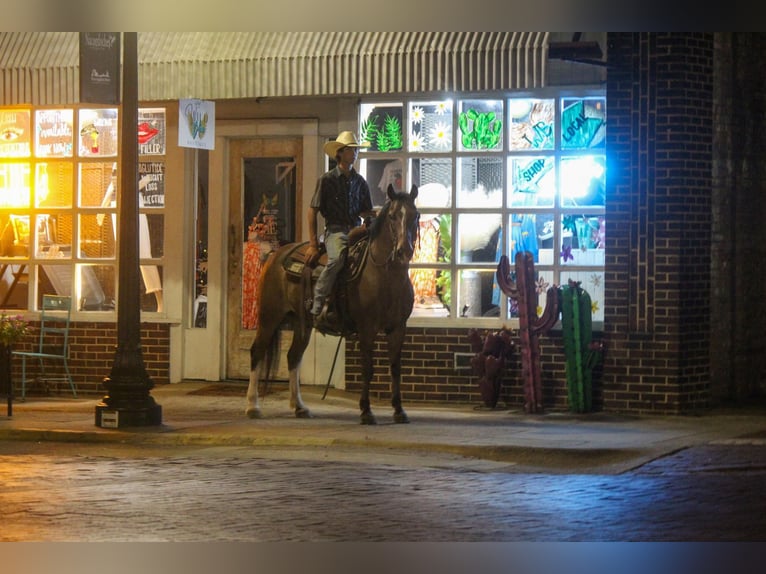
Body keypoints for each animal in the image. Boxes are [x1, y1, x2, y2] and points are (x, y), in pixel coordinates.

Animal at [248, 186, 420, 428]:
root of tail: (275, 256)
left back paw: (299, 407)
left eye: (416, 215)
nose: (404, 250)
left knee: (293, 357)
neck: (384, 276)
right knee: (257, 352)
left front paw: (399, 410)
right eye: (393, 216)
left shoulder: (398, 328)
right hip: (269, 317)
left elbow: (395, 368)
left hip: (302, 323)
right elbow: (368, 368)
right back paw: (252, 406)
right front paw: (366, 411)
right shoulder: (367, 329)